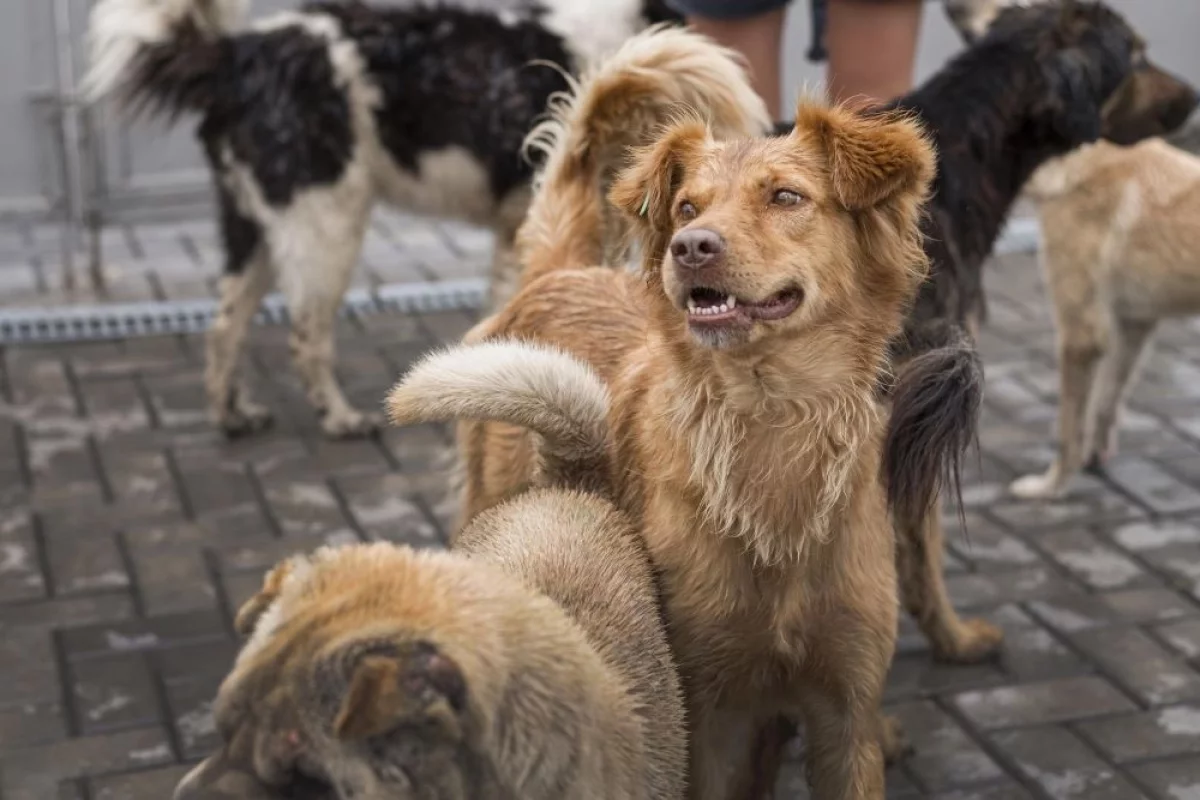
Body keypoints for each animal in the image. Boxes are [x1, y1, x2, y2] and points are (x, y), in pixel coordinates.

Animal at [87, 0, 681, 438]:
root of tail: (239, 55)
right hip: (326, 225)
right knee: (306, 334)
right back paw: (339, 418)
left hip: (254, 228)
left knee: (224, 327)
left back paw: (232, 415)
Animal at [400, 59, 1003, 796]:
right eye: (688, 208)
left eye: (786, 197)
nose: (691, 247)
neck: (770, 422)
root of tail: (562, 270)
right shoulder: (702, 715)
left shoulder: (844, 715)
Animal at [1012, 138, 1200, 501]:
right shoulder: (1134, 324)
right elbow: (1106, 403)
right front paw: (1095, 459)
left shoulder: (1080, 335)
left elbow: (1068, 430)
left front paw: (1051, 487)